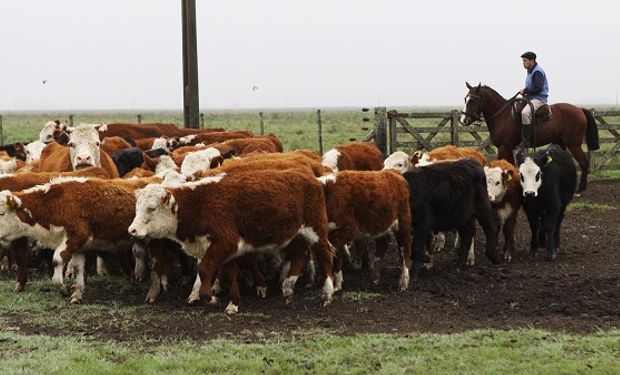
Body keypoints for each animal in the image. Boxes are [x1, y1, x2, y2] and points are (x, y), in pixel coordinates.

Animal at [128, 170, 336, 314]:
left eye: (152, 208)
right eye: (137, 208)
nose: (132, 230)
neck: (200, 204)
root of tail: (314, 179)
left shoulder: (225, 243)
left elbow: (204, 270)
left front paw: (211, 299)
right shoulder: (224, 250)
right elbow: (229, 275)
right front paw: (233, 303)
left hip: (316, 231)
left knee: (325, 256)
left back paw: (327, 294)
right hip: (293, 235)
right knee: (301, 255)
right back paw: (288, 288)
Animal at [460, 82, 596, 194]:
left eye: (472, 100)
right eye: (465, 99)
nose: (463, 120)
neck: (502, 116)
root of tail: (580, 109)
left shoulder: (504, 147)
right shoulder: (506, 148)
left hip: (574, 144)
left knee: (584, 162)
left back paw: (580, 189)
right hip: (561, 143)